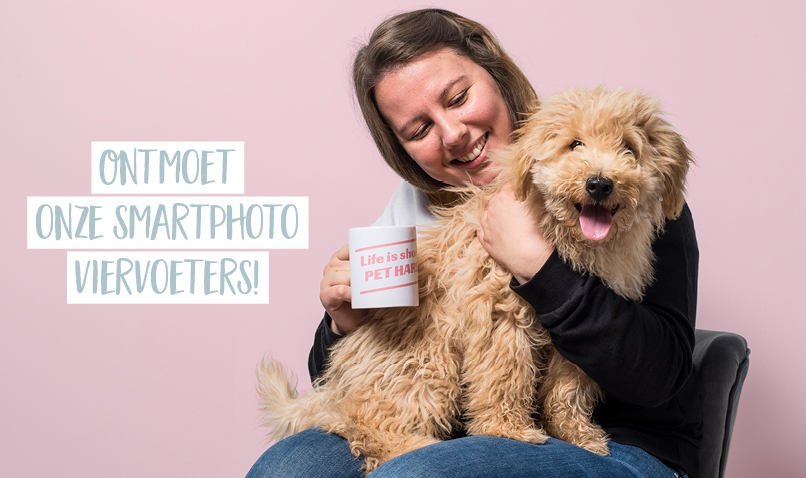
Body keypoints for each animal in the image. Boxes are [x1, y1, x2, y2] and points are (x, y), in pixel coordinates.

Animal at [258, 87, 696, 474]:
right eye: (574, 145)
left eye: (629, 148)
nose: (600, 183)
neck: (565, 240)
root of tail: (336, 387)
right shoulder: (499, 315)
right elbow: (505, 375)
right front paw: (509, 430)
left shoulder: (580, 337)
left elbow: (569, 389)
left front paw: (576, 434)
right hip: (426, 364)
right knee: (367, 424)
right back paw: (413, 447)